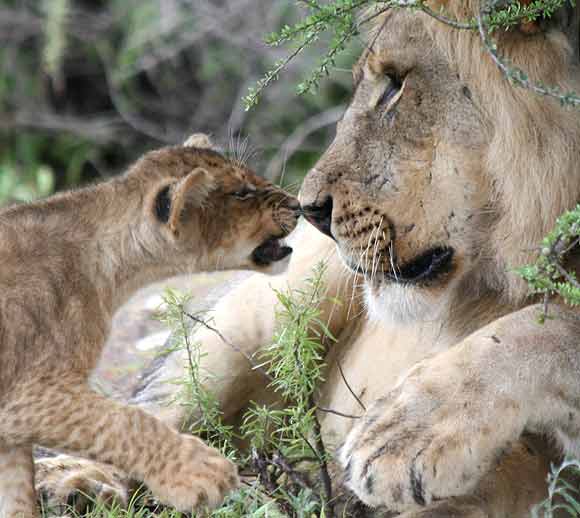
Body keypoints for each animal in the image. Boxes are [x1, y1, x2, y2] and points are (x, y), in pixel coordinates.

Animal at [39, 1, 580, 518]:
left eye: (396, 85)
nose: (312, 209)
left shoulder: (536, 471)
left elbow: (548, 330)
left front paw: (402, 435)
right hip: (257, 320)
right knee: (154, 411)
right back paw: (71, 483)